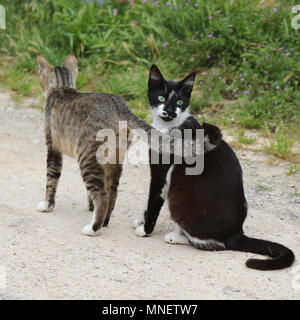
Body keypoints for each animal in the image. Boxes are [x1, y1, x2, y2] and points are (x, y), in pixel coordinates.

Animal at [132, 64, 294, 270]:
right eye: (161, 98)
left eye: (179, 101)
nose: (170, 112)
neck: (167, 127)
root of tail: (236, 235)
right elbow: (146, 201)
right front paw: (140, 220)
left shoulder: (161, 174)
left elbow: (153, 201)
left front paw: (145, 230)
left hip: (179, 195)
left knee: (213, 244)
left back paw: (175, 237)